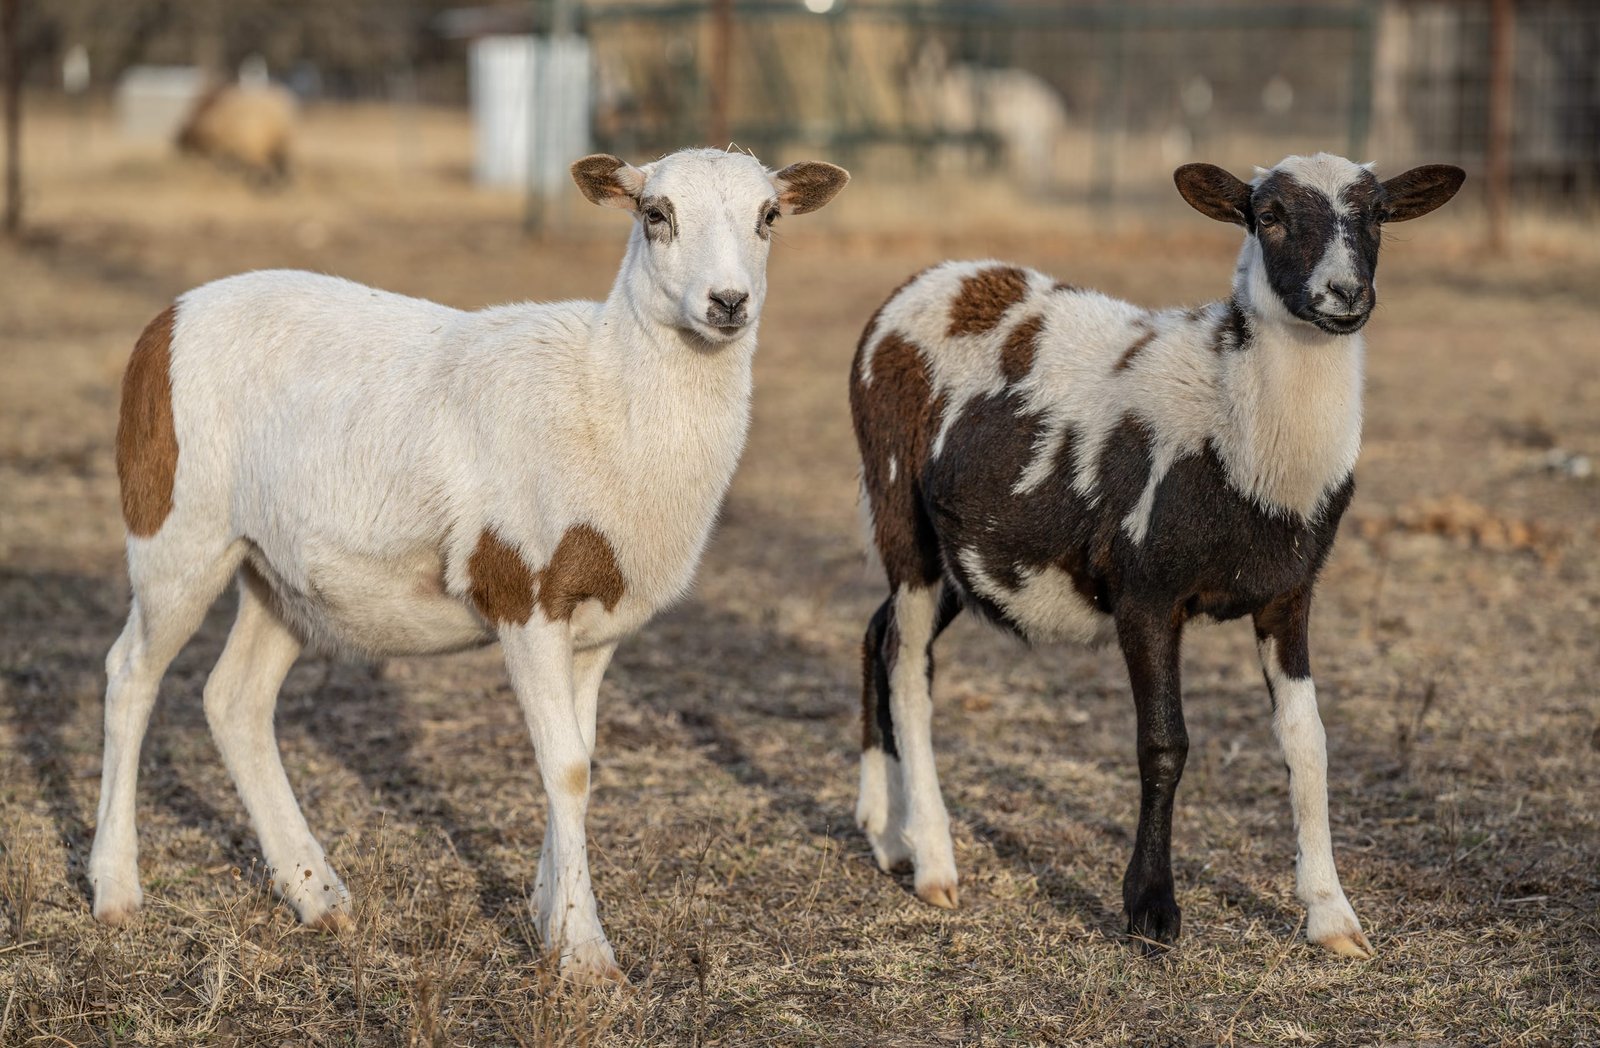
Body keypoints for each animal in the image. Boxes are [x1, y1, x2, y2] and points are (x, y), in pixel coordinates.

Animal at [89, 146, 849, 983]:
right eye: (656, 215)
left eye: (768, 217)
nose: (728, 302)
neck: (603, 390)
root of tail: (167, 318)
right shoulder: (525, 591)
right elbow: (565, 767)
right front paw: (587, 957)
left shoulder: (597, 620)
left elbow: (580, 762)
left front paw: (552, 919)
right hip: (177, 527)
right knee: (131, 674)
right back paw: (117, 891)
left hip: (281, 572)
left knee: (235, 699)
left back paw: (317, 893)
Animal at [849, 153, 1463, 957]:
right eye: (1268, 215)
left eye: (1380, 213)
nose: (1344, 295)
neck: (1238, 426)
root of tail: (924, 282)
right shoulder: (1145, 593)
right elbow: (1164, 745)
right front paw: (1151, 909)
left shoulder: (1288, 593)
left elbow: (1309, 746)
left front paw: (1331, 916)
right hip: (902, 515)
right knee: (909, 671)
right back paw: (933, 862)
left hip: (966, 553)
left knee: (879, 633)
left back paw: (882, 830)